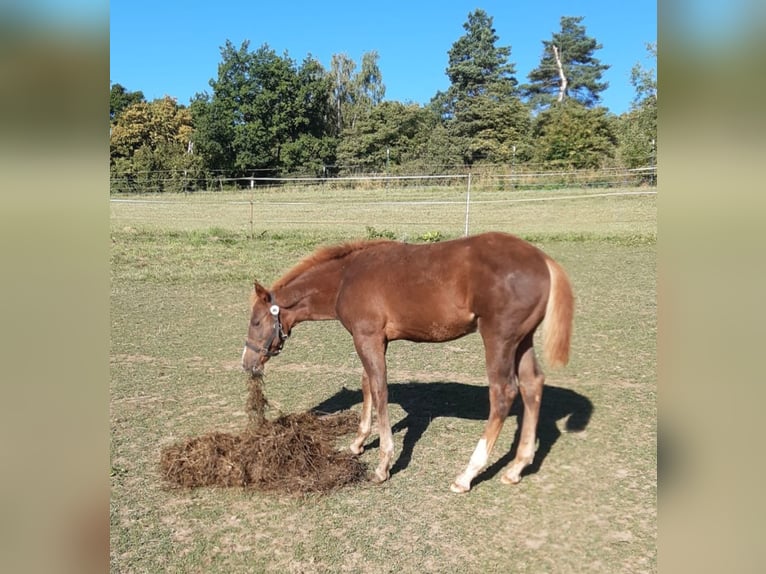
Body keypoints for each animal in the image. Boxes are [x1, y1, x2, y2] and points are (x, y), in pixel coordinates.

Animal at [241, 231, 574, 493]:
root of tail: (544, 261)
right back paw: (516, 468)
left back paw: (466, 475)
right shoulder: (375, 340)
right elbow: (367, 384)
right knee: (532, 385)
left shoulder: (368, 337)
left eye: (256, 322)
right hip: (522, 340)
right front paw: (358, 443)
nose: (247, 363)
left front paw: (383, 465)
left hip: (499, 339)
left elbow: (379, 390)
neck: (346, 278)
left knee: (503, 393)